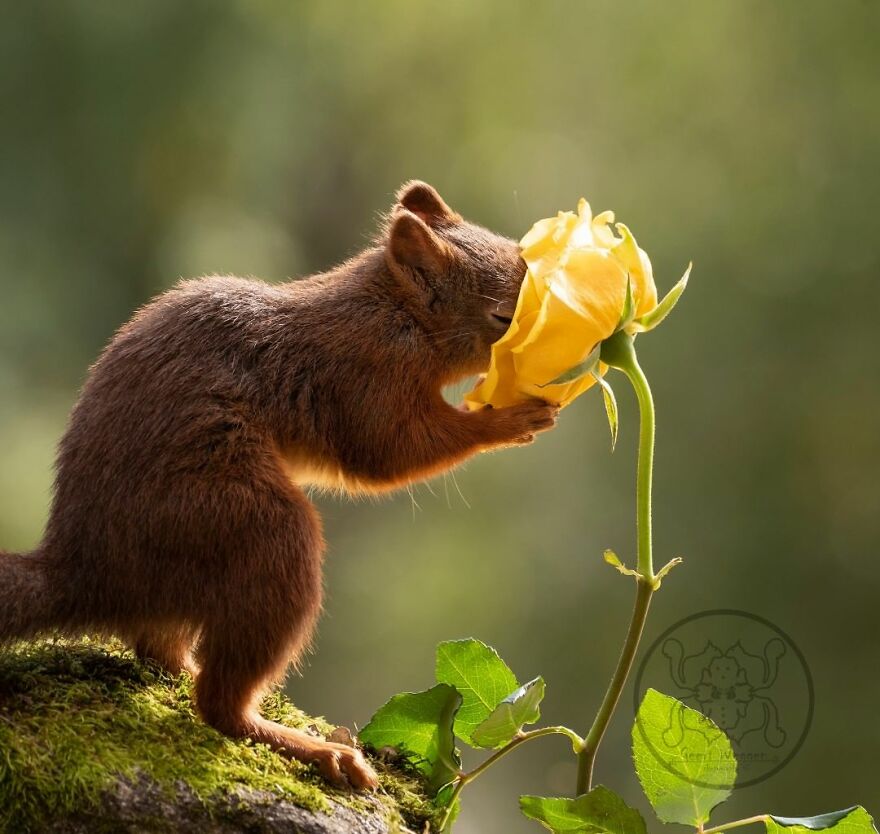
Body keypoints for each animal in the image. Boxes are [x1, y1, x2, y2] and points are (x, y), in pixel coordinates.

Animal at [0, 181, 558, 789]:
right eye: (503, 314)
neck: (392, 313)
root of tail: (85, 569)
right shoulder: (364, 377)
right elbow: (392, 450)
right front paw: (508, 420)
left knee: (159, 651)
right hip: (249, 528)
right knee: (217, 705)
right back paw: (314, 749)